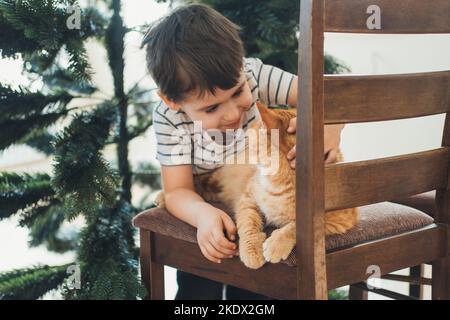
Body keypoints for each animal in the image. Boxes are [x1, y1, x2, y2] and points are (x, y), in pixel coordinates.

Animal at [156, 102, 358, 268]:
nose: (243, 140)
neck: (282, 184)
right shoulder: (248, 199)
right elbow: (248, 224)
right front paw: (252, 252)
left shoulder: (339, 218)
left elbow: (295, 227)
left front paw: (276, 244)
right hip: (217, 180)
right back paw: (162, 197)